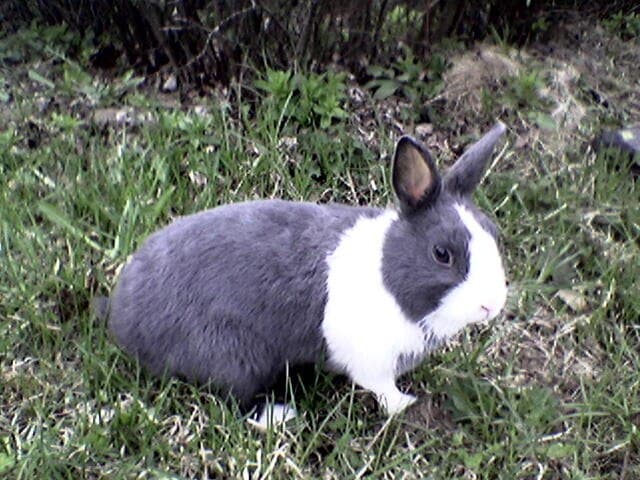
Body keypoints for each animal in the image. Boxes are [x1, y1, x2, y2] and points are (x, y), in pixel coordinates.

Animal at [102, 122, 508, 427]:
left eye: (494, 233)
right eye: (442, 254)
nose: (491, 305)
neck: (389, 275)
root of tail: (122, 319)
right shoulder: (368, 358)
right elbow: (379, 385)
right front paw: (404, 404)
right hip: (233, 356)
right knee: (234, 402)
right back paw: (280, 415)